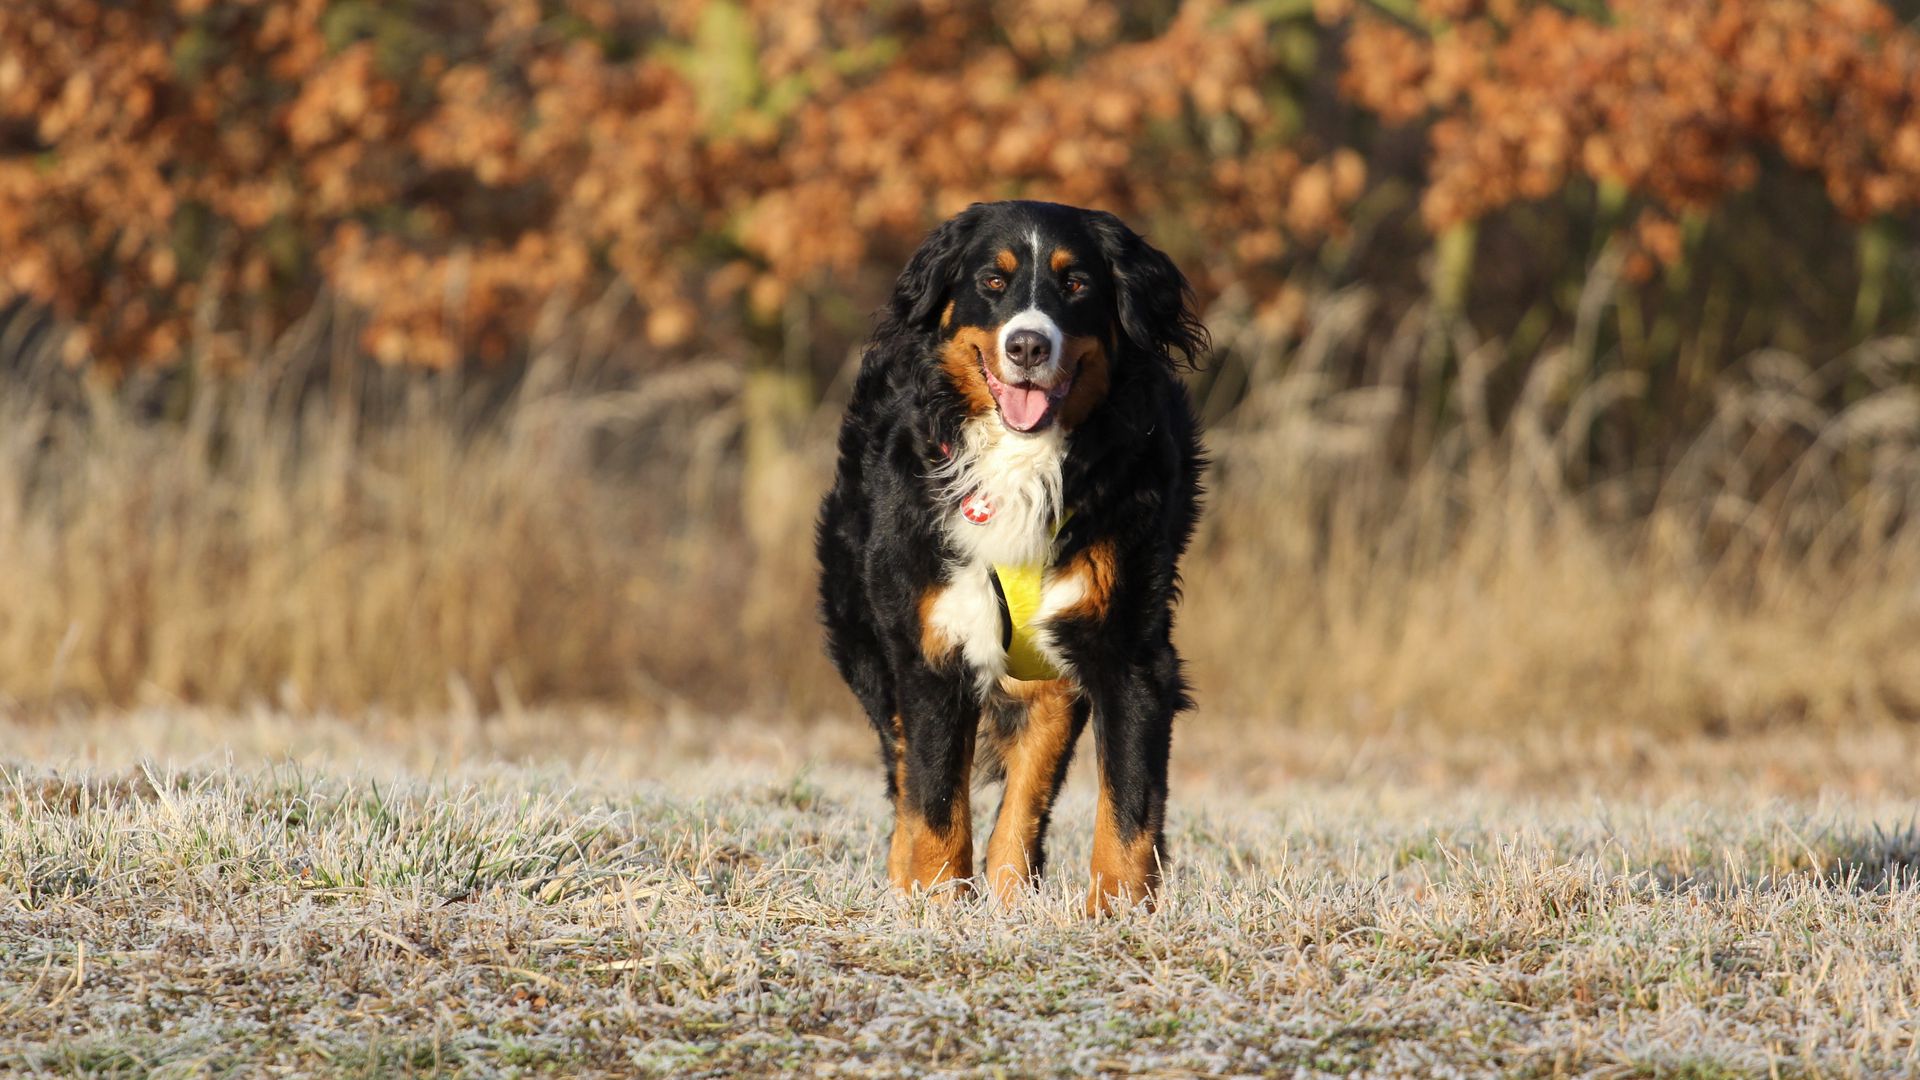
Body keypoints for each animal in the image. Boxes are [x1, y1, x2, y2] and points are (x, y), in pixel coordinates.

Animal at [817, 197, 1205, 910]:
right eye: (992, 282)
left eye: (1076, 283)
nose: (1028, 345)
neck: (1021, 459)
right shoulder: (932, 642)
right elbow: (936, 802)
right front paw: (936, 906)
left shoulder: (1129, 648)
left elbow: (1127, 807)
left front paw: (1118, 915)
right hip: (869, 638)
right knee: (905, 771)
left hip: (1045, 677)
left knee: (1027, 792)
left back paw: (1008, 894)